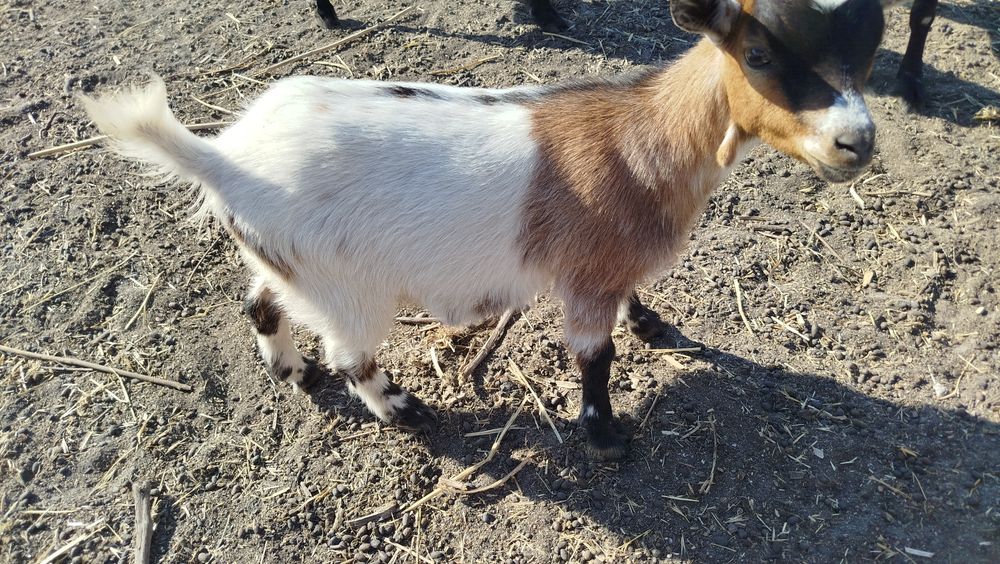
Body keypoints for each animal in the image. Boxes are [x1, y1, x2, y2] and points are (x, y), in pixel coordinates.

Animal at [84, 0, 888, 459]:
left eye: (867, 53)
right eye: (759, 55)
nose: (857, 142)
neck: (639, 137)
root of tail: (224, 157)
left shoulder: (608, 267)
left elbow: (631, 309)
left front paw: (654, 324)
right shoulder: (587, 277)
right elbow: (595, 358)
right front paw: (606, 436)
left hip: (288, 262)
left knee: (260, 303)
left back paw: (292, 372)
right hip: (349, 288)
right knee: (350, 354)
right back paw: (403, 408)